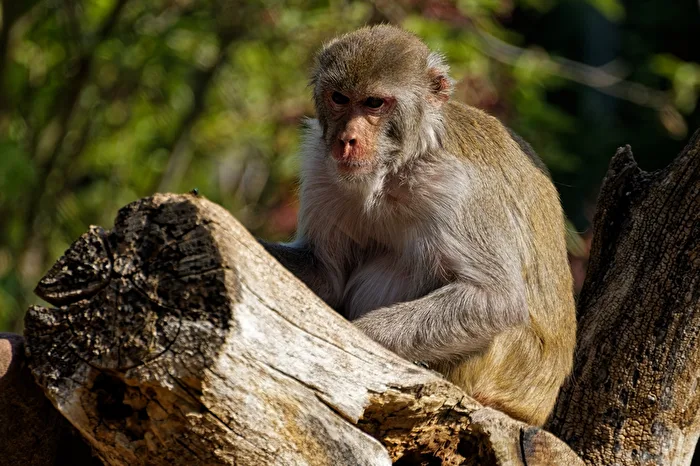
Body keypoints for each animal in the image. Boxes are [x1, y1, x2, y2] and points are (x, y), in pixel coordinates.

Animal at [260, 24, 576, 426]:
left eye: (374, 103)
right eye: (339, 98)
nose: (346, 139)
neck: (394, 168)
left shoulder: (457, 188)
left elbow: (497, 298)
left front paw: (358, 337)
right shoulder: (321, 168)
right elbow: (325, 274)